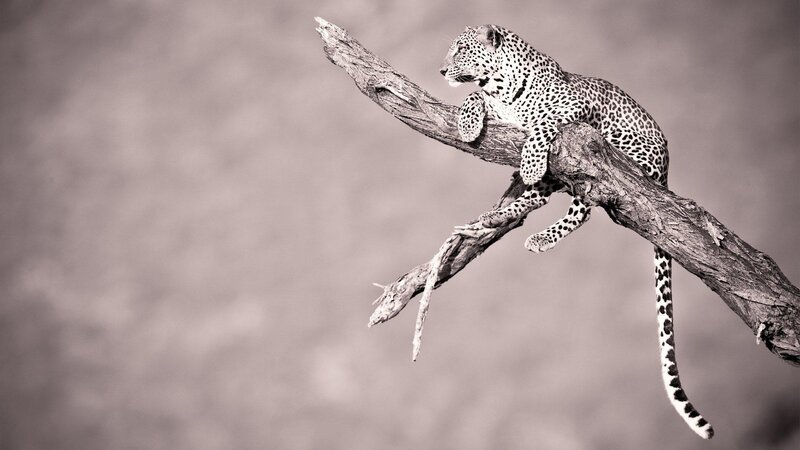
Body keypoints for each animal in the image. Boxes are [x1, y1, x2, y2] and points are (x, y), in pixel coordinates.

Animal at [440, 25, 713, 439]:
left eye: (461, 50)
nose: (441, 70)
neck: (500, 86)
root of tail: (666, 171)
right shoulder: (495, 103)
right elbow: (474, 96)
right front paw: (469, 124)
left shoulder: (572, 108)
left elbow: (541, 124)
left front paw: (529, 159)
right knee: (542, 199)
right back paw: (495, 218)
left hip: (607, 154)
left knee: (583, 206)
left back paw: (535, 227)